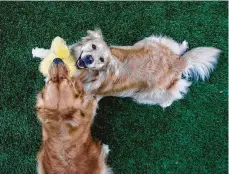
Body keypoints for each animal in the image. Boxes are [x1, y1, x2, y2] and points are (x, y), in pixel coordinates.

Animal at [72, 29, 221, 107]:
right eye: (93, 46)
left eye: (102, 60)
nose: (89, 59)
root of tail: (177, 62)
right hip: (151, 40)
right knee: (177, 47)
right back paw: (183, 46)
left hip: (145, 95)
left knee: (167, 99)